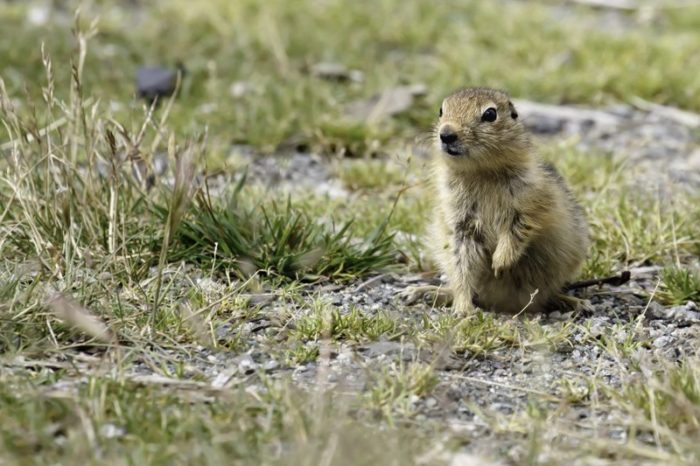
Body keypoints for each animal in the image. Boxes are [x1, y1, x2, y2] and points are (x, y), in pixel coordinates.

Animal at [412, 87, 588, 314]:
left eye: (490, 114)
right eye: (441, 110)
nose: (447, 134)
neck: (481, 173)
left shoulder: (529, 202)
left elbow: (517, 231)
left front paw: (499, 264)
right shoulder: (460, 224)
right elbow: (462, 267)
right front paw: (462, 309)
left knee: (547, 295)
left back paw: (574, 302)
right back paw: (425, 292)